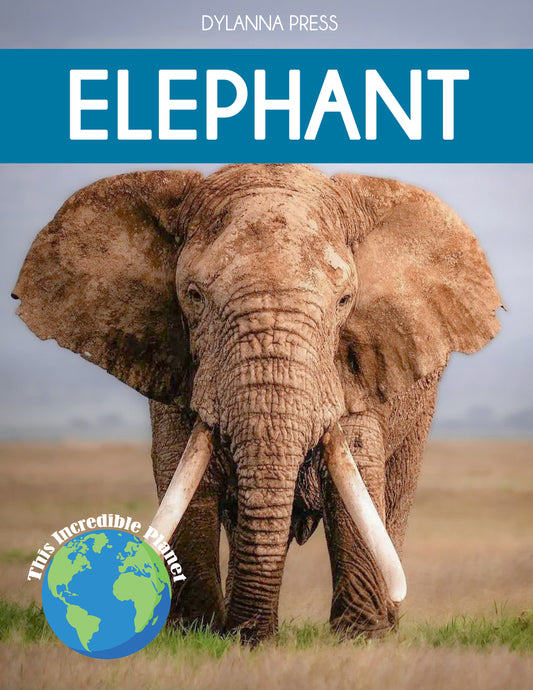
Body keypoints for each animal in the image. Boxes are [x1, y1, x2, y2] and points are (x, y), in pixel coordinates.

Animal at [12, 164, 501, 643]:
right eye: (193, 296)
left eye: (345, 301)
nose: (251, 636)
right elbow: (182, 473)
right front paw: (196, 635)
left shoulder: (358, 365)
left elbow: (358, 471)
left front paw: (360, 640)